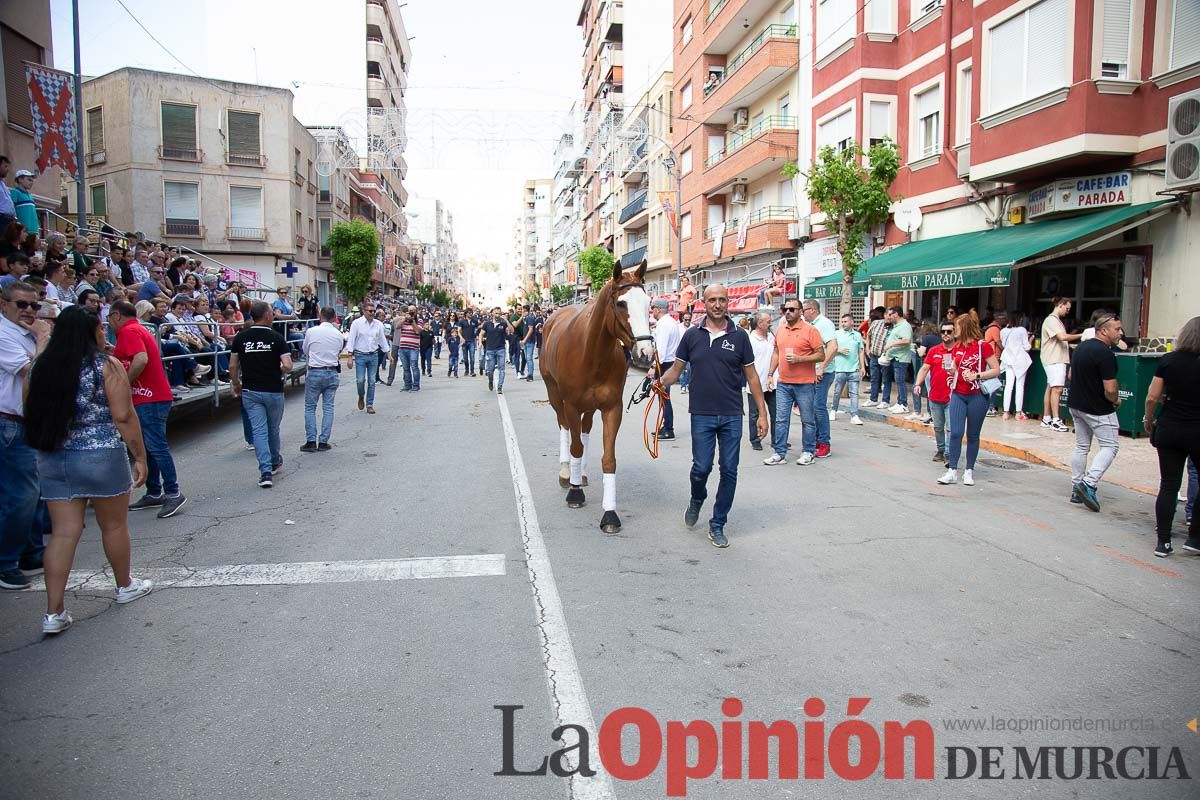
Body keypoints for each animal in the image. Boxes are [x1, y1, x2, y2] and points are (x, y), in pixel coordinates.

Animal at [544, 261, 657, 532]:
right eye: (621, 304)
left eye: (648, 303)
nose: (646, 353)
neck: (592, 353)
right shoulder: (571, 405)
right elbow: (574, 447)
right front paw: (574, 493)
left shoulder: (611, 408)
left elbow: (608, 459)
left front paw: (609, 513)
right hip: (555, 396)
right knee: (565, 428)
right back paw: (567, 474)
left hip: (590, 407)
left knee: (584, 431)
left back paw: (581, 474)